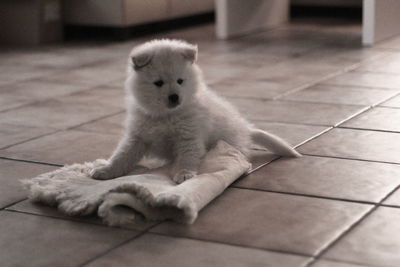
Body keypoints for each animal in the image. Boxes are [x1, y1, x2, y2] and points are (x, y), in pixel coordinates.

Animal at [91, 38, 300, 183]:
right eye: (158, 83)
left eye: (180, 81)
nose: (174, 97)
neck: (165, 116)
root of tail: (246, 130)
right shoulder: (138, 136)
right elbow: (122, 155)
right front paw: (106, 170)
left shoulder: (189, 137)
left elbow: (187, 157)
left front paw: (184, 174)